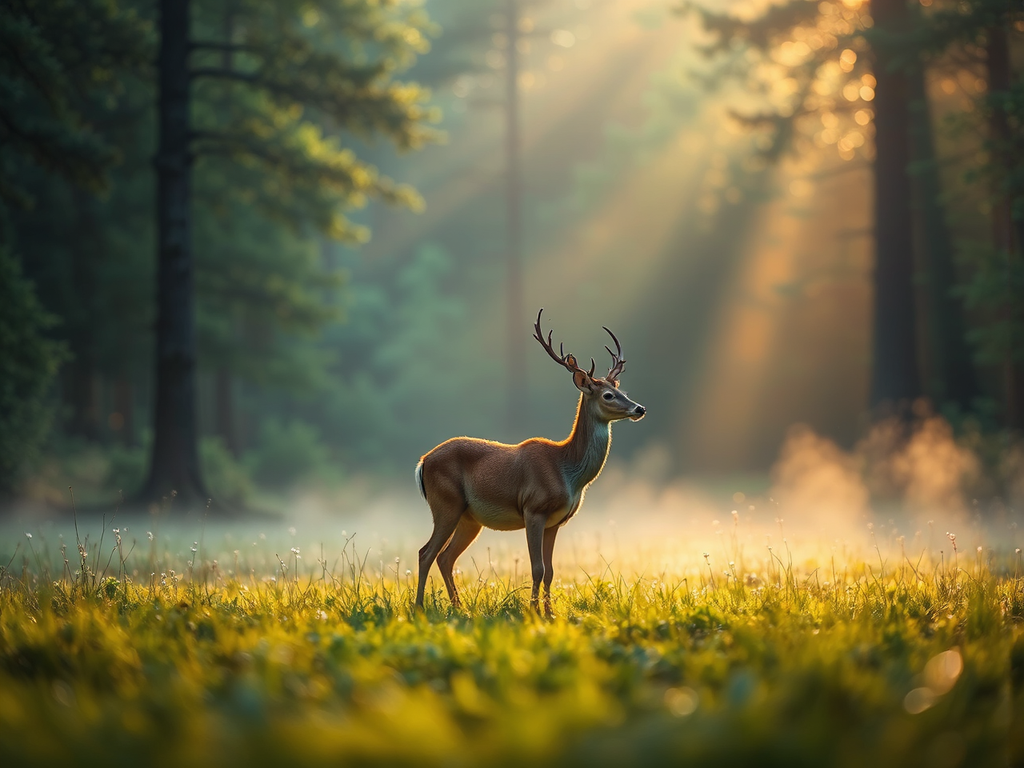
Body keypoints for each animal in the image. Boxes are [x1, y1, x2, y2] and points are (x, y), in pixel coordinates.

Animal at [414, 308, 645, 616]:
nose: (640, 408)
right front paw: (534, 611)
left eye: (623, 391)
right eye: (608, 395)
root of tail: (422, 462)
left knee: (445, 557)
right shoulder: (533, 509)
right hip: (446, 503)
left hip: (469, 518)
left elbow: (551, 571)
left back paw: (460, 609)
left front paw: (549, 612)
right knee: (426, 553)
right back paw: (418, 608)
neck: (568, 472)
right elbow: (537, 568)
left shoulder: (556, 522)